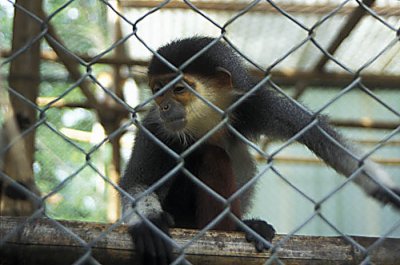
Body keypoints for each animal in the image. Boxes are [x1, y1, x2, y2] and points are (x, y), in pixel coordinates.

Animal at [119, 36, 400, 262]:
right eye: (158, 91)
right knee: (211, 154)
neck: (208, 122)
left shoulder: (255, 104)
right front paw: (148, 223)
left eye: (178, 89)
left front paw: (385, 187)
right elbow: (136, 181)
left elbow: (319, 135)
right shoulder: (155, 127)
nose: (165, 107)